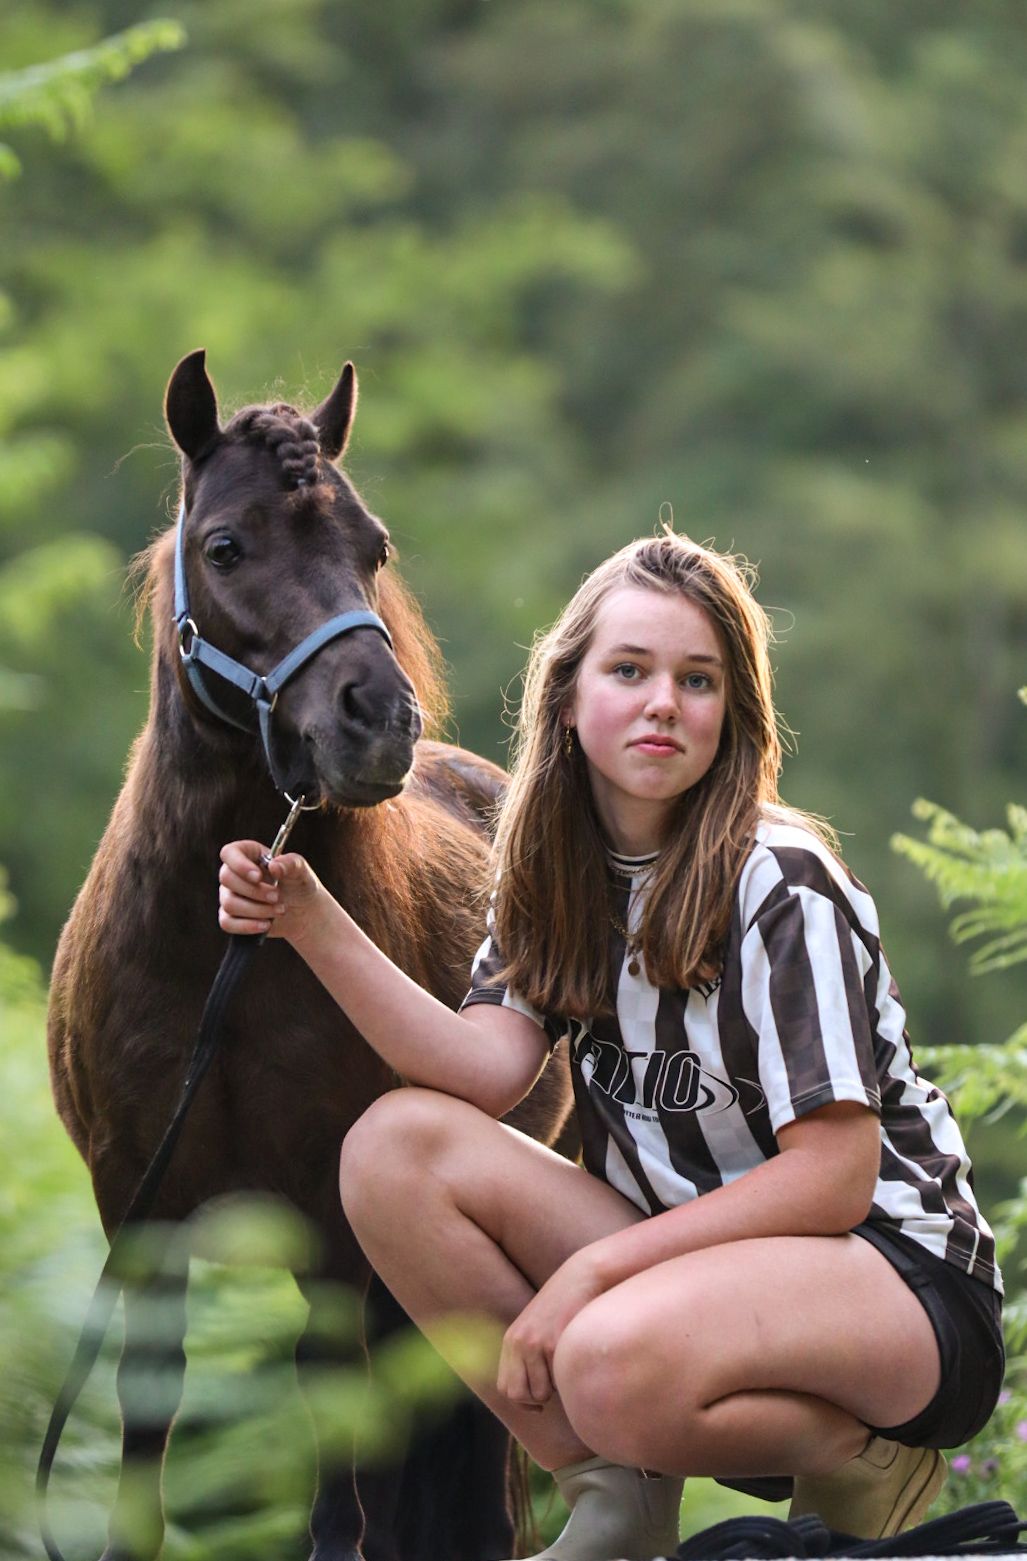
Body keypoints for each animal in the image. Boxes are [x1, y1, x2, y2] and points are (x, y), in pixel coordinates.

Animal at [46, 349, 574, 1561]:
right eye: (224, 546)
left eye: (371, 546)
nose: (377, 718)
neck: (213, 963)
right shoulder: (139, 1216)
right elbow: (150, 1426)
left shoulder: (334, 1223)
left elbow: (339, 1450)